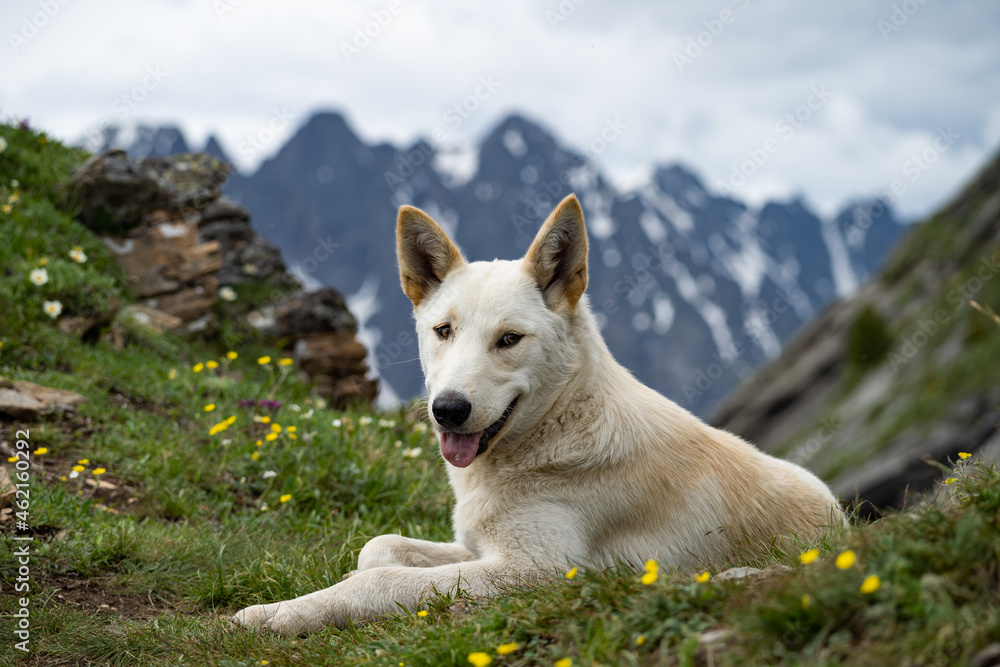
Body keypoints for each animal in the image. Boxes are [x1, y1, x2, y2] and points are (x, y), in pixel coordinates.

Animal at [230, 194, 840, 636]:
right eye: (443, 331)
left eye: (509, 339)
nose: (448, 410)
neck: (555, 433)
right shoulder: (479, 548)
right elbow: (377, 549)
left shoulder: (537, 569)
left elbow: (377, 583)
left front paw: (276, 614)